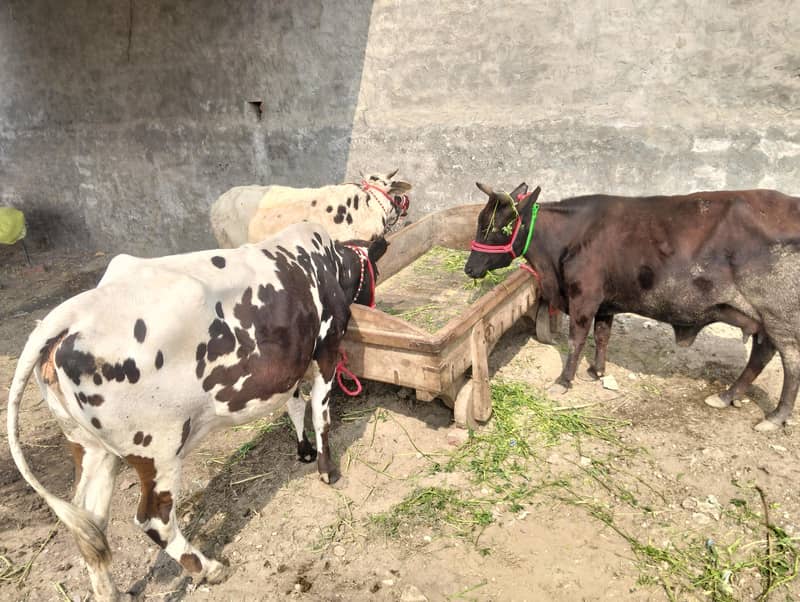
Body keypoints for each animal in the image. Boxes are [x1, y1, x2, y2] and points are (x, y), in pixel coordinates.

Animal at [6, 222, 387, 601]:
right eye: (375, 271)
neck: (325, 261)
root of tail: (70, 314)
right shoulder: (326, 347)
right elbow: (321, 412)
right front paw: (327, 470)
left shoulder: (289, 364)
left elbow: (294, 404)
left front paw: (304, 451)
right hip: (156, 448)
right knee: (154, 519)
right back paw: (209, 569)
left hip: (91, 448)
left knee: (90, 524)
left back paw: (110, 592)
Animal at [464, 181, 800, 432]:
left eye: (495, 227)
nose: (469, 268)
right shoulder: (605, 304)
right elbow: (602, 335)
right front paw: (596, 371)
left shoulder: (584, 297)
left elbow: (576, 340)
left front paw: (563, 381)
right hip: (762, 318)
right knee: (761, 353)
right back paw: (727, 395)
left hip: (780, 316)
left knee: (790, 362)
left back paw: (775, 417)